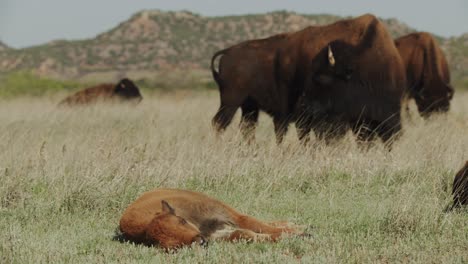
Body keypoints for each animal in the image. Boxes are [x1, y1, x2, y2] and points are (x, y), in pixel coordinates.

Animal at [118, 188, 308, 250]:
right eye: (175, 245)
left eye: (182, 221)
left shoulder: (226, 215)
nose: (200, 241)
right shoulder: (218, 233)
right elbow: (244, 234)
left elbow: (252, 223)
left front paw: (299, 233)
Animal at [212, 13, 406, 144]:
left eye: (322, 78)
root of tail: (228, 52)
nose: (303, 102)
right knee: (220, 123)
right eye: (316, 77)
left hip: (249, 106)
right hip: (231, 101)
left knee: (248, 128)